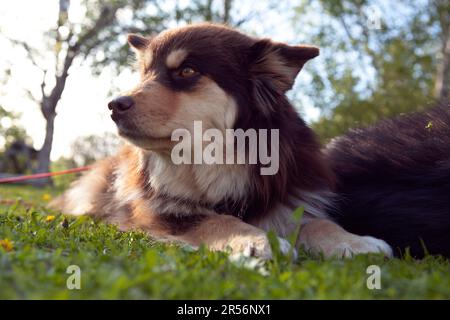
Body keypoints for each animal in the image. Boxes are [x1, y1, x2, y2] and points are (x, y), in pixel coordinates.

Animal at [50, 22, 394, 258]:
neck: (217, 161)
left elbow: (316, 222)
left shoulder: (293, 198)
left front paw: (352, 240)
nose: (114, 105)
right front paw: (256, 240)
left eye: (187, 71)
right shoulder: (163, 212)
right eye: (145, 73)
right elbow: (215, 221)